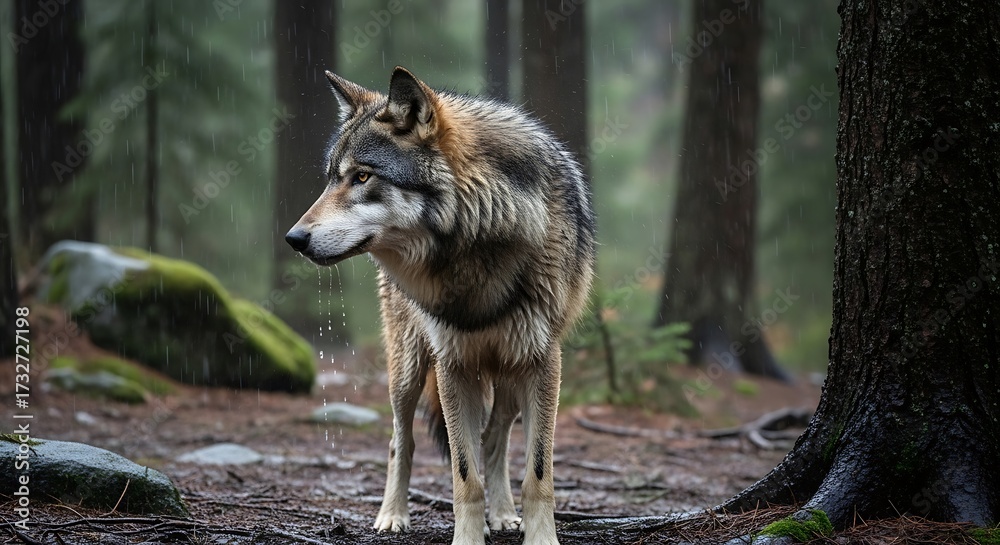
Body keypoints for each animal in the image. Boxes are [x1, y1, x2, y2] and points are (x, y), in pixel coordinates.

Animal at [285, 66, 595, 545]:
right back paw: (392, 515)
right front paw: (467, 537)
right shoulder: (453, 365)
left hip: (508, 372)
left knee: (494, 438)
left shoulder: (543, 362)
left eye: (362, 177)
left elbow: (538, 472)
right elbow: (463, 475)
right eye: (332, 178)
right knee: (401, 441)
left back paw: (502, 513)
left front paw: (538, 536)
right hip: (408, 370)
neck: (477, 244)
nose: (294, 239)